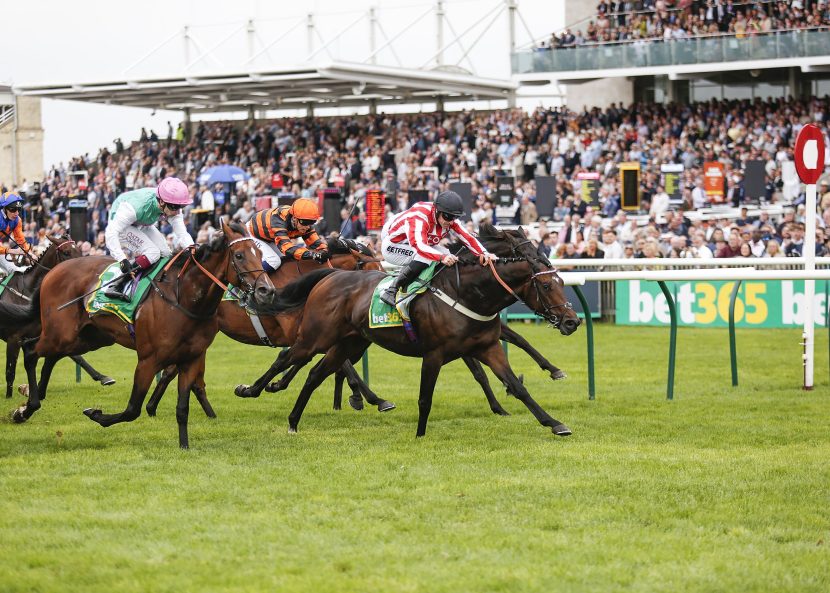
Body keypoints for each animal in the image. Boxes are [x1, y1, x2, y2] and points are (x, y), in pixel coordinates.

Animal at [0, 232, 114, 398]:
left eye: (79, 250)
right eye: (66, 252)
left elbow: (76, 356)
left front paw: (103, 377)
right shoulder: (13, 338)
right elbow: (10, 371)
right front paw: (10, 397)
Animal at [237, 224, 580, 438]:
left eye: (561, 282)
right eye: (546, 285)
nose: (572, 321)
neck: (467, 292)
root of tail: (329, 276)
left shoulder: (487, 347)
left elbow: (517, 386)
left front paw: (554, 423)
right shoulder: (435, 353)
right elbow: (425, 397)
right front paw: (420, 434)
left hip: (350, 343)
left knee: (315, 373)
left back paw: (294, 421)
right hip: (315, 336)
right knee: (287, 357)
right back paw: (252, 389)